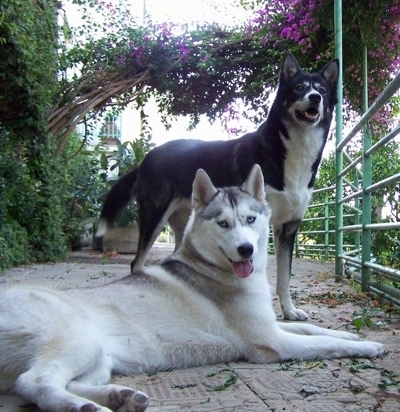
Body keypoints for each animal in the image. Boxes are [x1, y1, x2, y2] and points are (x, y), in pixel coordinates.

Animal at [0, 165, 384, 412]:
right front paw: (366, 346)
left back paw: (119, 397)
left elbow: (314, 328)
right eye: (223, 224)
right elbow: (322, 344)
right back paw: (81, 406)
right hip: (79, 339)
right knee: (33, 383)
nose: (246, 250)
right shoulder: (270, 342)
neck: (213, 269)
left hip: (99, 355)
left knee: (64, 381)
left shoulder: (272, 324)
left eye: (250, 219)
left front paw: (350, 334)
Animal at [95, 52, 340, 322]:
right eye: (299, 88)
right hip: (153, 216)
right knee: (136, 262)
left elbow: (284, 278)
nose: (315, 97)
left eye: (322, 90)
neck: (292, 151)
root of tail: (146, 158)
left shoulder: (288, 227)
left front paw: (289, 310)